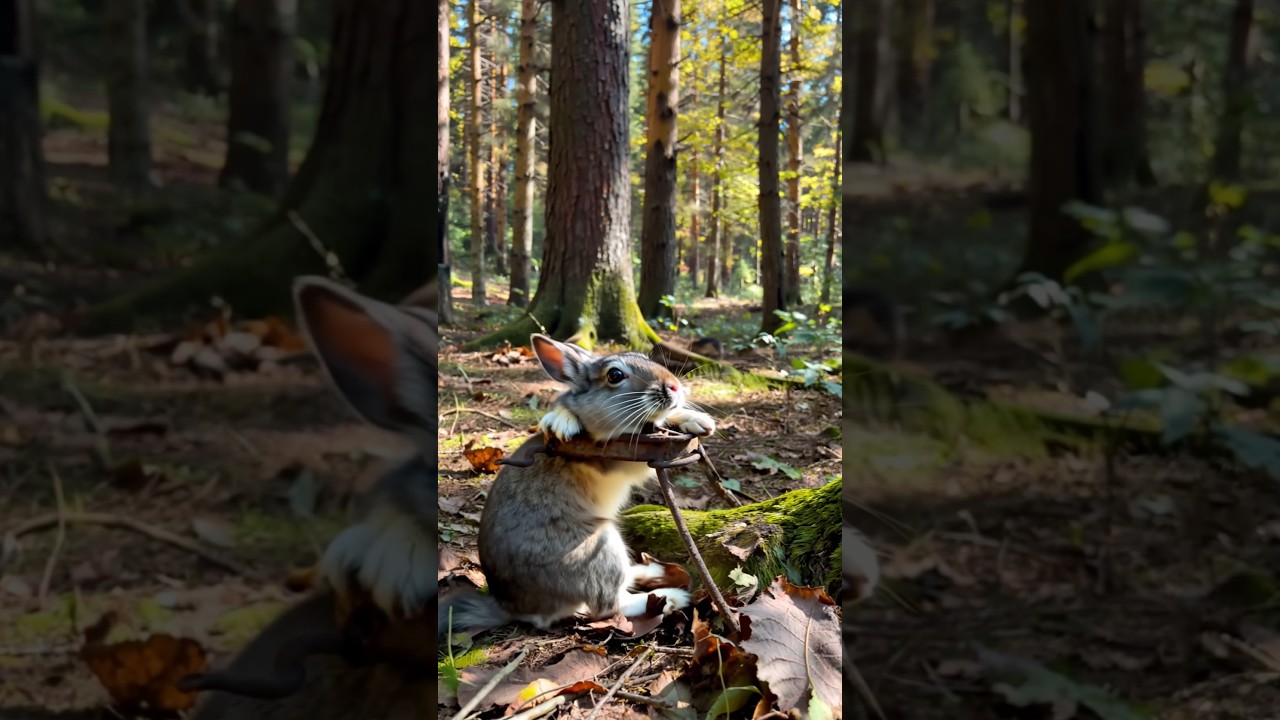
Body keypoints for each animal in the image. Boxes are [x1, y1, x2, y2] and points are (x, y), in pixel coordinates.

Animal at [438, 334, 717, 640]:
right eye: (615, 375)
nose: (675, 386)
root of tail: (511, 607)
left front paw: (698, 420)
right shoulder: (616, 457)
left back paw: (652, 571)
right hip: (601, 546)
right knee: (610, 604)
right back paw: (672, 597)